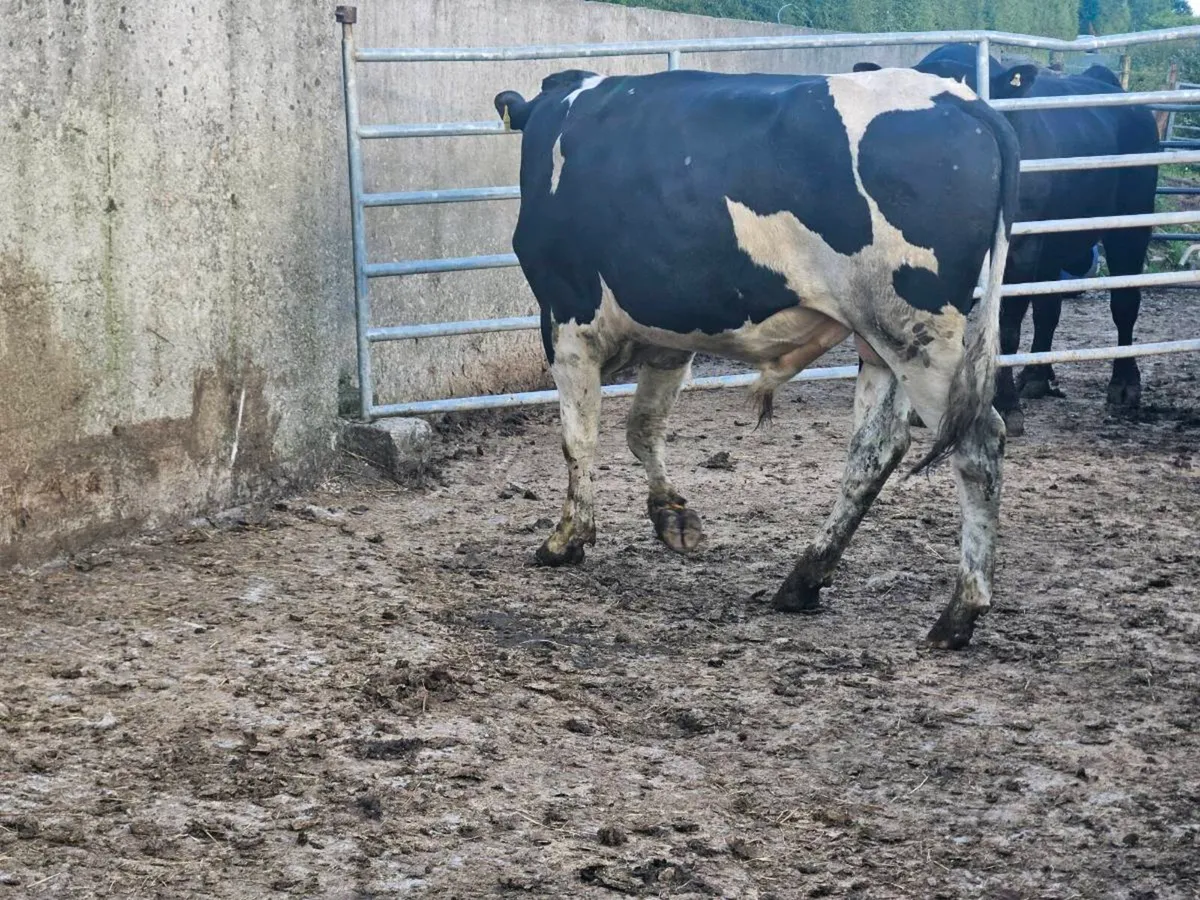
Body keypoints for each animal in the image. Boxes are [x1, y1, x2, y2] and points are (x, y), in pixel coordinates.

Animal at [494, 66, 1019, 649]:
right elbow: (643, 427)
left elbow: (578, 439)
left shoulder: (566, 320)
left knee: (977, 443)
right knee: (876, 450)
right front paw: (671, 515)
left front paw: (566, 539)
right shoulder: (671, 337)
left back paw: (959, 612)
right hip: (880, 341)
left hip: (918, 335)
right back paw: (803, 580)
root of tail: (961, 98)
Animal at [855, 46, 1160, 435]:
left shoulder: (1020, 251)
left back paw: (1124, 383)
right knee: (1048, 307)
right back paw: (1036, 376)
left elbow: (1007, 327)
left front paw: (1005, 404)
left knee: (1125, 302)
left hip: (1131, 225)